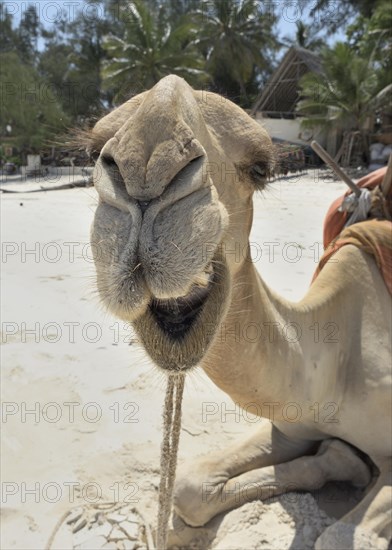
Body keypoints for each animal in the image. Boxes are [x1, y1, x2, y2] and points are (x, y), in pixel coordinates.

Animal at [88, 75, 392, 548]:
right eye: (92, 150)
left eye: (261, 168)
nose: (147, 165)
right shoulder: (291, 425)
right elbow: (189, 487)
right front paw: (341, 459)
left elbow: (338, 536)